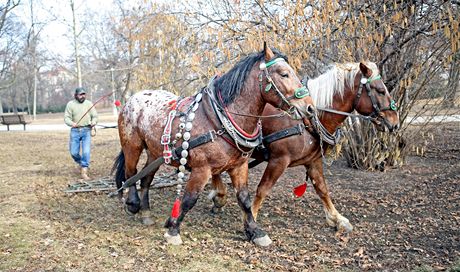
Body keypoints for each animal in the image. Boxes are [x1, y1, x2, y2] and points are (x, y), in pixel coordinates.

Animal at [113, 45, 318, 246]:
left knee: (146, 179)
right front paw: (173, 230)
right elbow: (189, 199)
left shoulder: (239, 166)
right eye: (284, 74)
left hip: (156, 153)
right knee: (131, 173)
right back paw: (133, 204)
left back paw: (146, 213)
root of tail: (132, 99)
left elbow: (244, 199)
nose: (310, 107)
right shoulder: (201, 169)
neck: (220, 119)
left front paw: (255, 232)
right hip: (132, 145)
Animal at [208, 61, 398, 240]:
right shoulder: (279, 160)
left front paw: (337, 218)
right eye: (381, 90)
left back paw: (219, 195)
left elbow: (322, 188)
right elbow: (263, 189)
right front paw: (251, 221)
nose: (395, 122)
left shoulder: (313, 161)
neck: (309, 120)